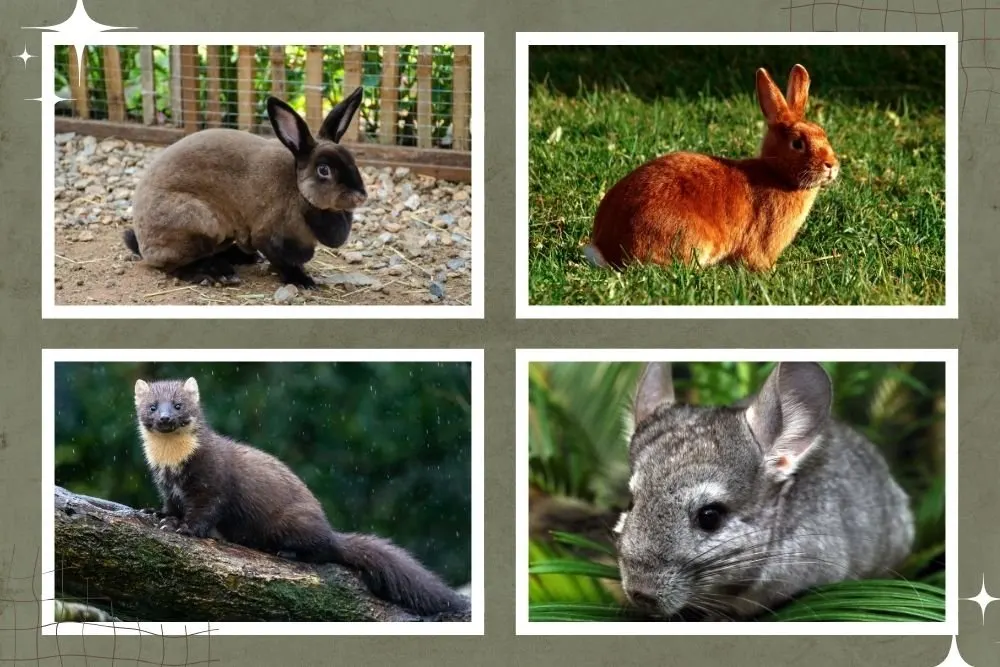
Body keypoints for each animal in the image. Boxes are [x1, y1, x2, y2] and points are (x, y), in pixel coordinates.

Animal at [123, 87, 368, 289]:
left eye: (352, 160)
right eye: (324, 170)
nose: (361, 197)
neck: (299, 190)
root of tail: (145, 244)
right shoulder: (268, 236)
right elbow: (284, 263)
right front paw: (303, 281)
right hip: (197, 220)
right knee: (174, 265)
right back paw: (217, 274)